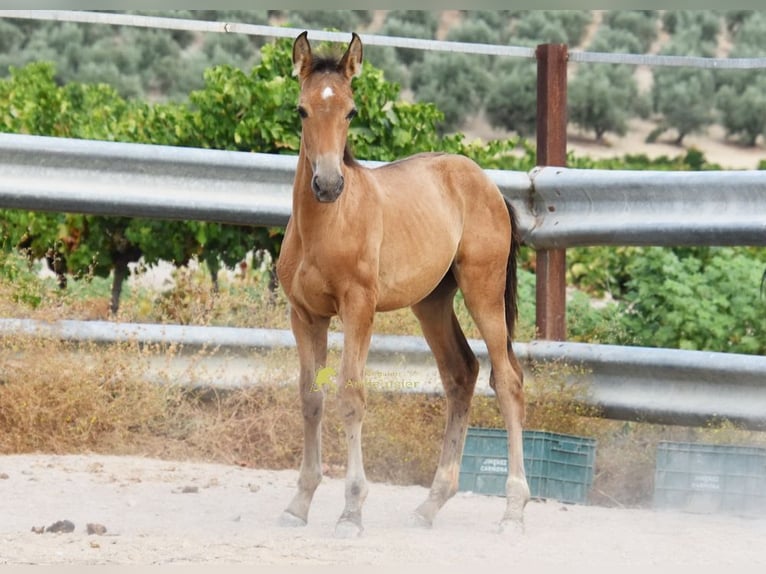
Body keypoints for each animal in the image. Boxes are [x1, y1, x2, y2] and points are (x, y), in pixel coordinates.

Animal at [276, 31, 529, 538]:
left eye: (352, 110)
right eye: (302, 109)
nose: (328, 184)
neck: (325, 227)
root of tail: (488, 185)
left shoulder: (359, 308)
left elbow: (351, 395)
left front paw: (352, 511)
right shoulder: (305, 315)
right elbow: (311, 398)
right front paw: (299, 503)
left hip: (484, 292)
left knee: (508, 380)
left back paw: (513, 510)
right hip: (432, 303)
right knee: (461, 374)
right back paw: (430, 505)